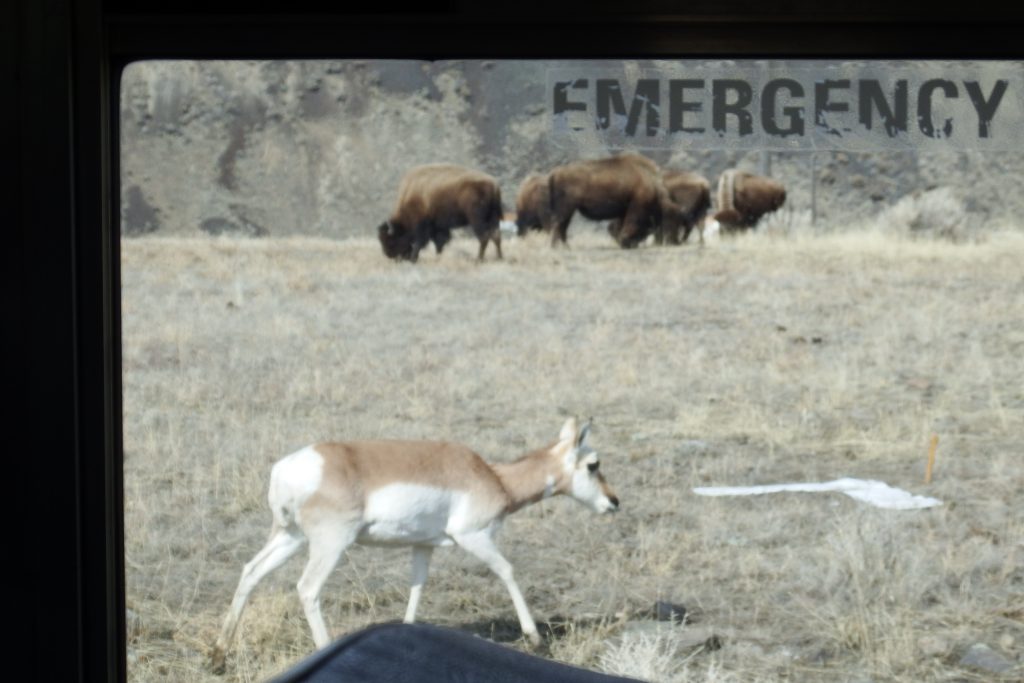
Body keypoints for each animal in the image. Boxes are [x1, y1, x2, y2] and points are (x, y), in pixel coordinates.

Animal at [209, 417, 614, 671]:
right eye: (593, 464)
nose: (614, 502)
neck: (492, 476)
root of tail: (288, 469)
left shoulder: (424, 546)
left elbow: (417, 587)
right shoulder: (473, 536)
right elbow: (508, 570)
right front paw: (535, 639)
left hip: (289, 538)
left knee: (251, 571)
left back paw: (218, 657)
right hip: (330, 544)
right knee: (307, 588)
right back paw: (324, 650)